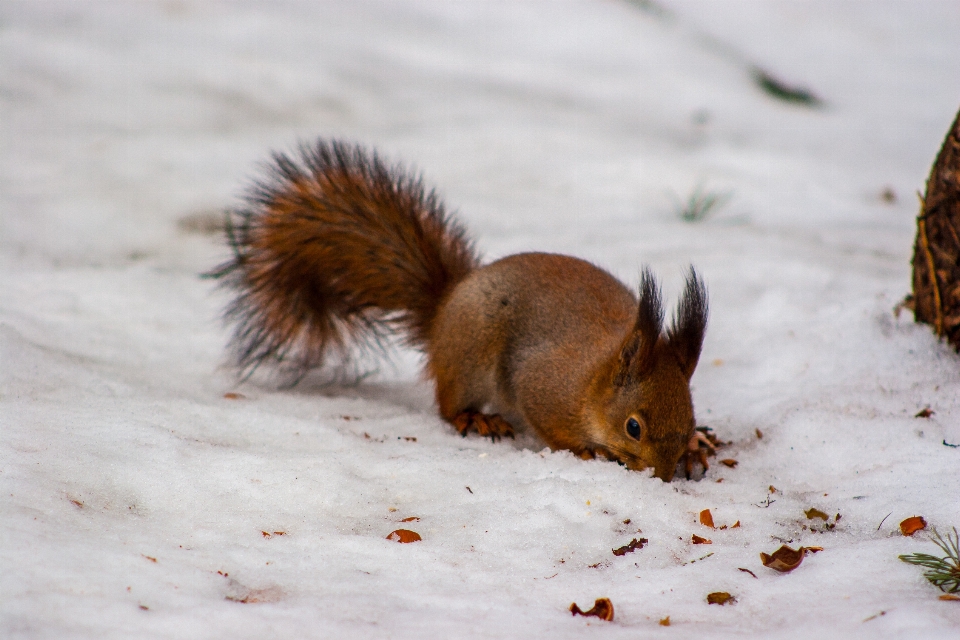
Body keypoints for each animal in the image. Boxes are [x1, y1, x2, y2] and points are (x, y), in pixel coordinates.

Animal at [212, 140, 712, 480]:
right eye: (633, 427)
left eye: (688, 415)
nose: (662, 476)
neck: (592, 381)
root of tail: (444, 308)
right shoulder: (541, 383)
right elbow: (551, 426)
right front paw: (587, 451)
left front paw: (696, 445)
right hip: (471, 353)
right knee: (448, 403)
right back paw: (475, 417)